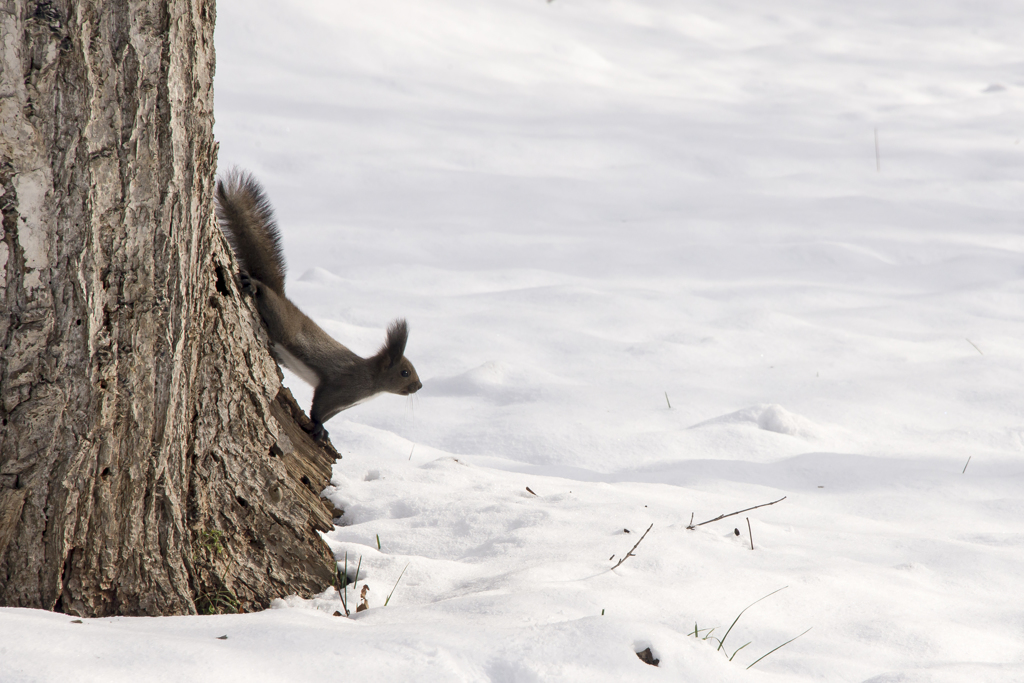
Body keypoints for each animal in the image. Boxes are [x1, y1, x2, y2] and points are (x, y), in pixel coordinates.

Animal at [216, 167, 423, 440]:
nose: (419, 386)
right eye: (405, 372)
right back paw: (254, 285)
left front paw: (324, 430)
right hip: (280, 319)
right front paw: (318, 427)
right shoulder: (341, 387)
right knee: (266, 298)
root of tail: (282, 297)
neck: (371, 379)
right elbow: (319, 407)